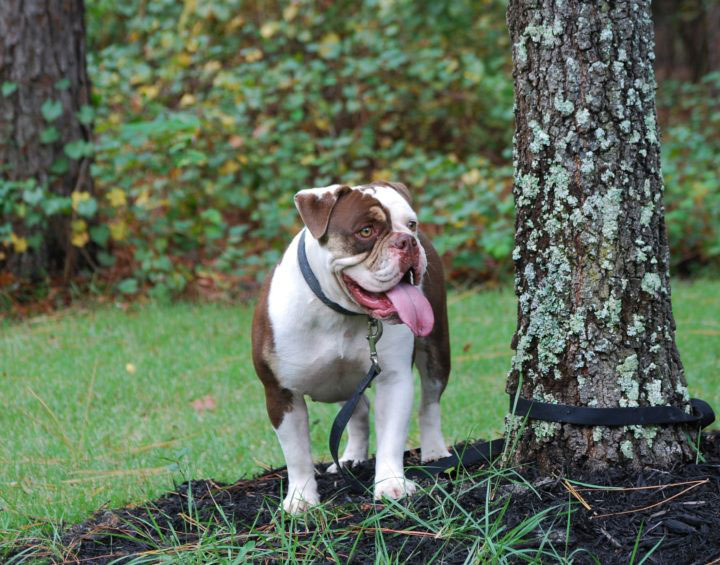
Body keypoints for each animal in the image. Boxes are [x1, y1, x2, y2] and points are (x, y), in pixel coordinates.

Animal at [252, 181, 450, 512]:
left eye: (411, 223)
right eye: (366, 231)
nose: (408, 241)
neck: (338, 311)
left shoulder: (393, 379)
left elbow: (391, 436)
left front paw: (391, 484)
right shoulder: (281, 392)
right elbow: (296, 454)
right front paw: (301, 498)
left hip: (436, 350)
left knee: (430, 402)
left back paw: (435, 449)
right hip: (338, 383)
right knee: (358, 410)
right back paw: (351, 459)